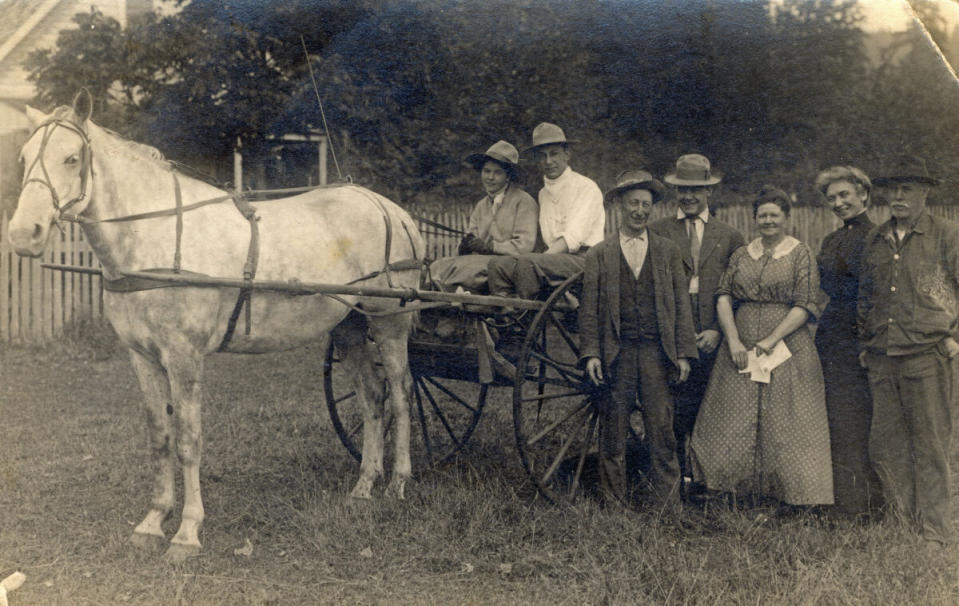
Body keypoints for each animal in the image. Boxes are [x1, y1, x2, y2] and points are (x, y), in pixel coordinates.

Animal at [9, 105, 426, 564]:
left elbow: (188, 440)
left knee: (401, 394)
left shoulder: (184, 356)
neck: (154, 238)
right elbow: (160, 437)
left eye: (72, 158)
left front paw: (187, 532)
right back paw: (364, 486)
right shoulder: (142, 356)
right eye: (24, 158)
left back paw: (398, 483)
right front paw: (152, 522)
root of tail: (391, 208)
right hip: (348, 326)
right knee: (372, 396)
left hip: (389, 322)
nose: (23, 233)